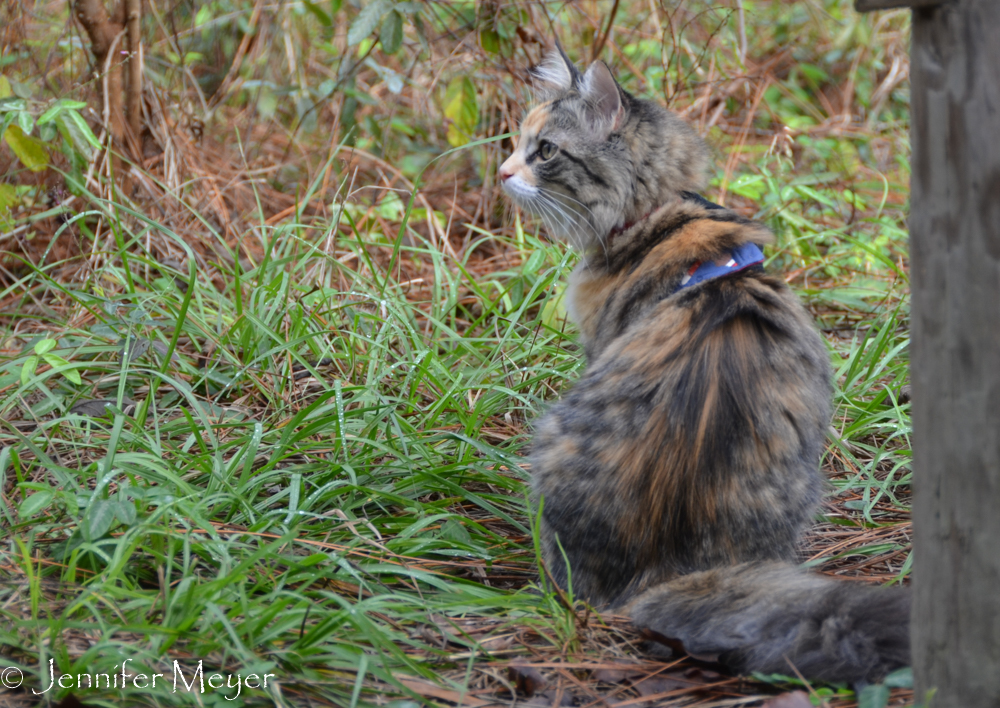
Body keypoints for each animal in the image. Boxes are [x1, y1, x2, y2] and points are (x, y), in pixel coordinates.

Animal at [496, 45, 912, 684]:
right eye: (521, 143)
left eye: (544, 150)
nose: (501, 172)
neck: (657, 211)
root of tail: (667, 568)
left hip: (550, 441)